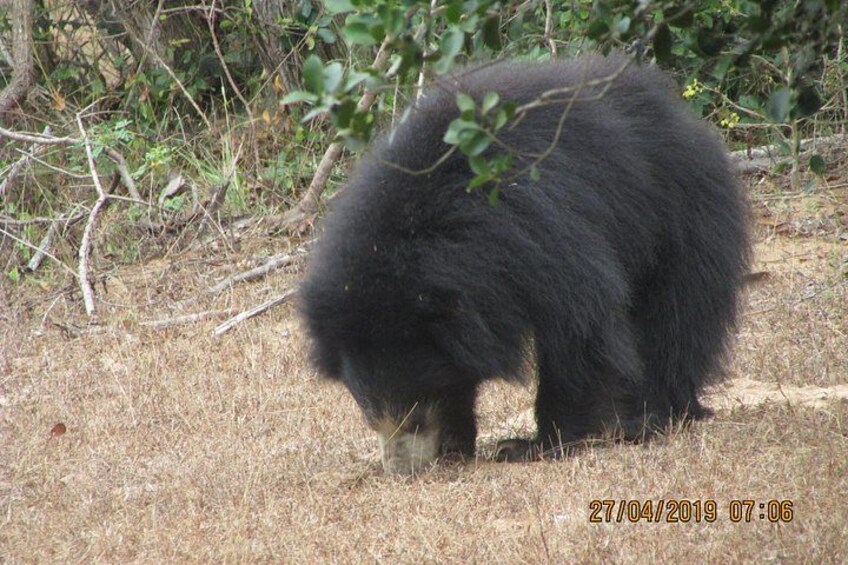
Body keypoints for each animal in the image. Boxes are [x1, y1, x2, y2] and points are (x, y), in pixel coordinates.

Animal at [298, 54, 750, 475]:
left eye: (415, 415)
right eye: (370, 415)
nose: (402, 470)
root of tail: (683, 118)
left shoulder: (540, 227)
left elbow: (580, 327)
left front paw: (535, 444)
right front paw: (457, 443)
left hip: (681, 213)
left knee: (676, 317)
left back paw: (655, 414)